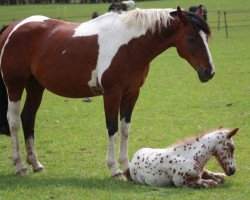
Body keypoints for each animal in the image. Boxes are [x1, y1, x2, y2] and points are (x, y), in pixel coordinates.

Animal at [0, 7, 215, 177]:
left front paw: (127, 167)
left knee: (28, 118)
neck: (129, 46)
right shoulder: (112, 93)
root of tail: (12, 28)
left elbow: (125, 129)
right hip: (15, 85)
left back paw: (36, 164)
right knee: (14, 121)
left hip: (35, 86)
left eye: (206, 38)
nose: (209, 72)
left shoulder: (131, 93)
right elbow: (112, 127)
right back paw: (20, 166)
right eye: (191, 38)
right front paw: (114, 169)